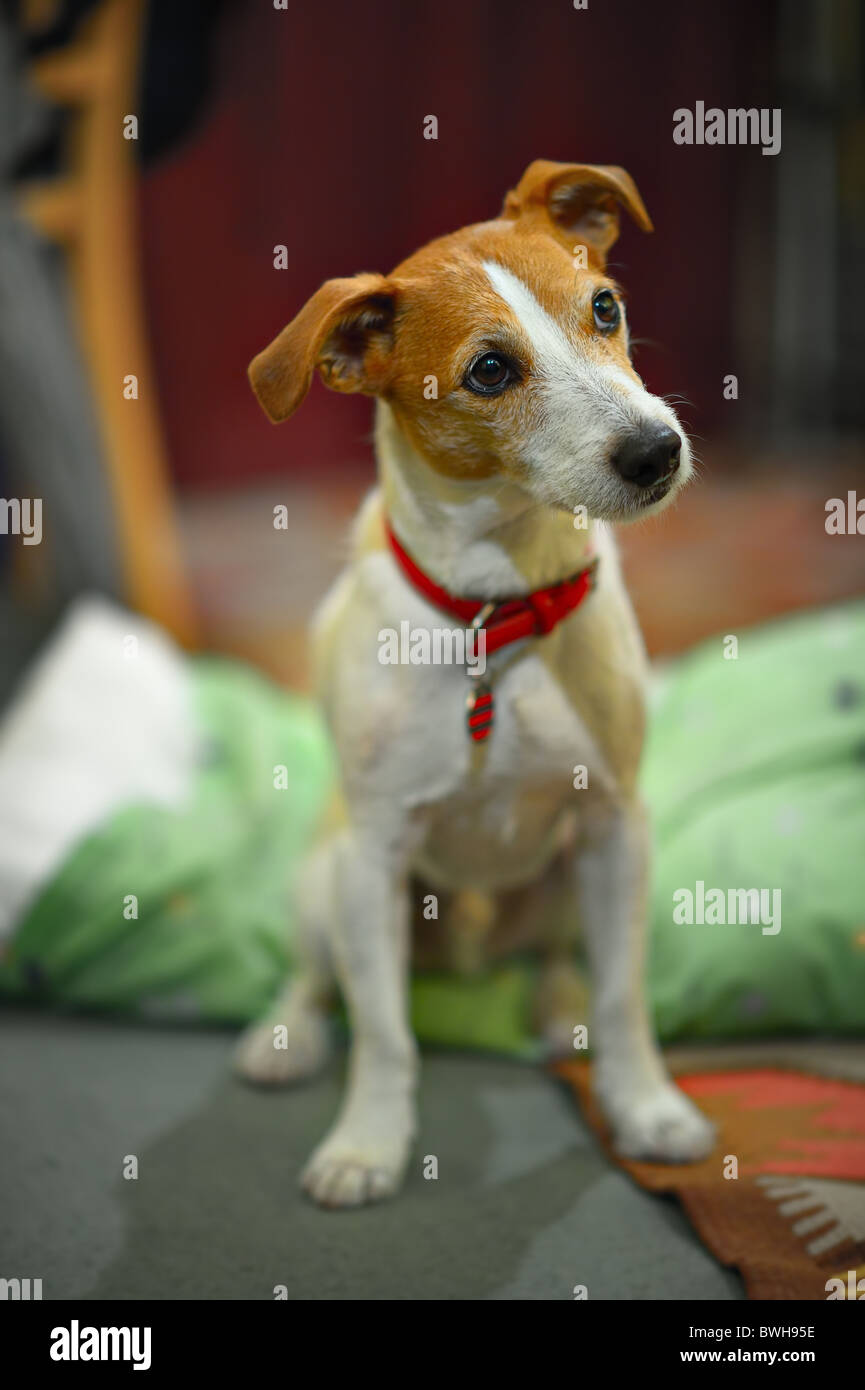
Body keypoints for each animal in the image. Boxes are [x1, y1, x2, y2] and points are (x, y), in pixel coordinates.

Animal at [237, 159, 717, 1206]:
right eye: (489, 371)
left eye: (604, 306)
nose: (657, 450)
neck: (497, 616)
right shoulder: (374, 857)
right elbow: (383, 1035)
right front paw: (367, 1144)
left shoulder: (614, 825)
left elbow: (625, 1000)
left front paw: (645, 1108)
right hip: (324, 881)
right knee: (317, 977)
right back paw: (284, 1036)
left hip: (566, 880)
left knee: (562, 959)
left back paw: (554, 1005)